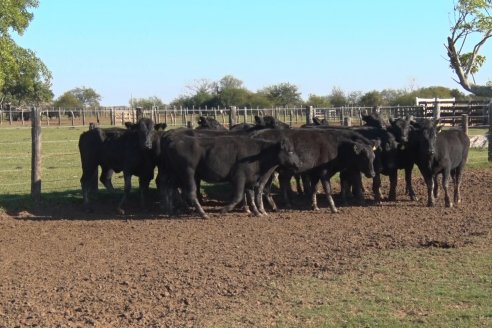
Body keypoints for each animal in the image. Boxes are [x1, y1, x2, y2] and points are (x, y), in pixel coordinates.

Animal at [160, 131, 302, 218]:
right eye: (290, 151)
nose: (299, 164)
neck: (258, 154)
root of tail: (173, 138)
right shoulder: (239, 177)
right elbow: (238, 196)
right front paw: (223, 210)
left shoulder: (250, 180)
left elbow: (251, 196)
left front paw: (257, 212)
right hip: (188, 173)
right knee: (190, 193)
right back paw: (203, 214)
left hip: (172, 172)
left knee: (167, 186)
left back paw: (170, 209)